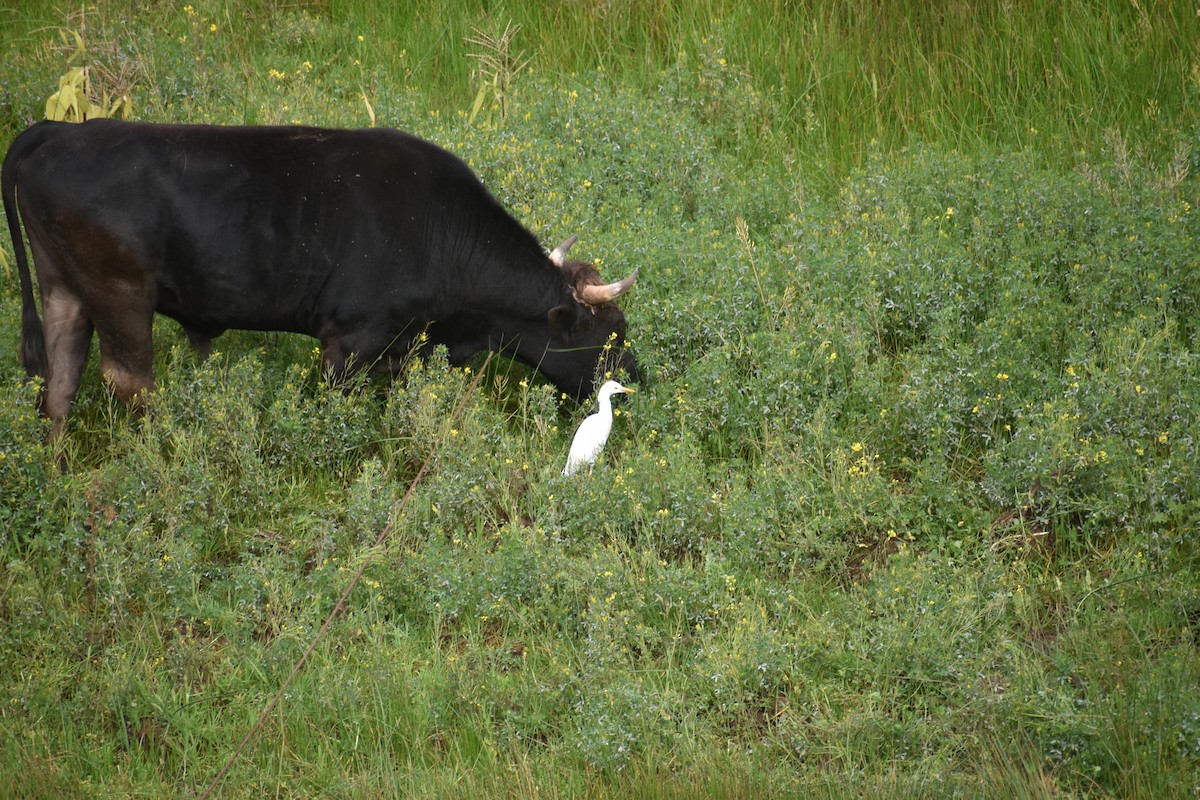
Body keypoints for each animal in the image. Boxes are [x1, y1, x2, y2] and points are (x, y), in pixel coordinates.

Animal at [2, 119, 639, 439]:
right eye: (612, 334)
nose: (639, 379)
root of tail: (58, 128)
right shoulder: (348, 343)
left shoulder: (396, 345)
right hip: (121, 294)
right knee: (128, 380)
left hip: (65, 289)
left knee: (60, 382)